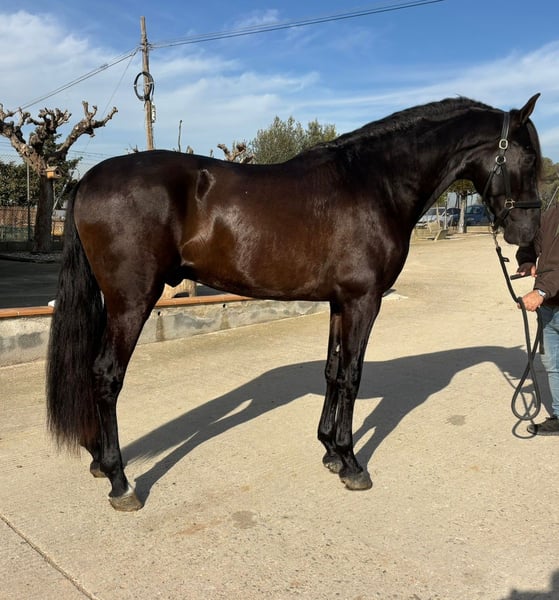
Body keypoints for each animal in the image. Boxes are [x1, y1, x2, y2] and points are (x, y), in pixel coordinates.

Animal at [47, 94, 542, 511]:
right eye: (530, 158)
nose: (528, 241)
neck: (375, 183)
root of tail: (87, 180)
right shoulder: (364, 302)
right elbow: (352, 376)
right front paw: (352, 463)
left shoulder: (340, 303)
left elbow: (333, 371)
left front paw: (329, 451)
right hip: (131, 301)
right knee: (106, 375)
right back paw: (120, 481)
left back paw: (98, 460)